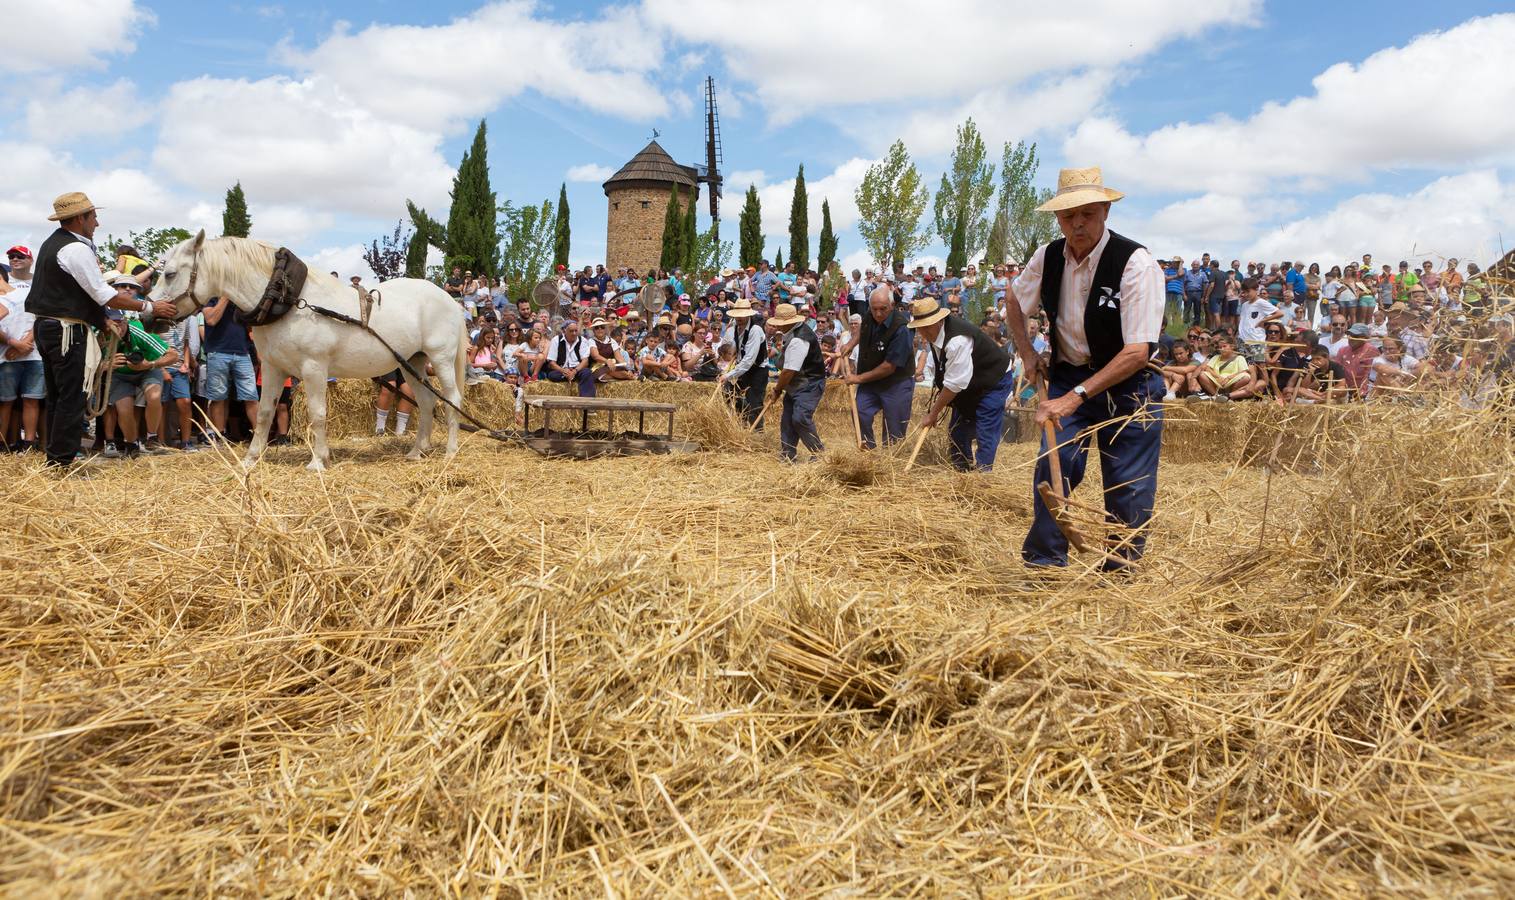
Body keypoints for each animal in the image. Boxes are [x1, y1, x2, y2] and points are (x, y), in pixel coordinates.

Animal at [152, 228, 466, 469]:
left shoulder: (314, 367)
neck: (289, 300)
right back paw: (417, 451)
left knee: (452, 399)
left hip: (440, 358)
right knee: (427, 402)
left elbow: (317, 413)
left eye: (170, 274)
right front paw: (251, 460)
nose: (151, 314)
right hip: (411, 361)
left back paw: (450, 452)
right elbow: (264, 413)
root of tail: (449, 300)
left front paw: (318, 461)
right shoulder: (272, 367)